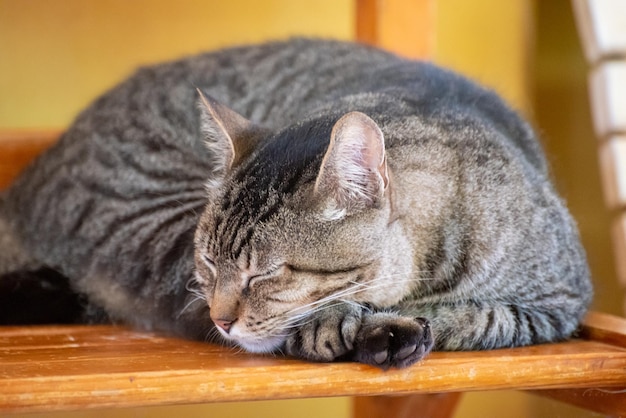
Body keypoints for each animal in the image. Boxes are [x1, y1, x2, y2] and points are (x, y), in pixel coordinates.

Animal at [0, 37, 588, 368]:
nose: (223, 319)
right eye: (208, 262)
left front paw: (405, 321)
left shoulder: (557, 304)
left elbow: (475, 317)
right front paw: (353, 325)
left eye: (264, 274)